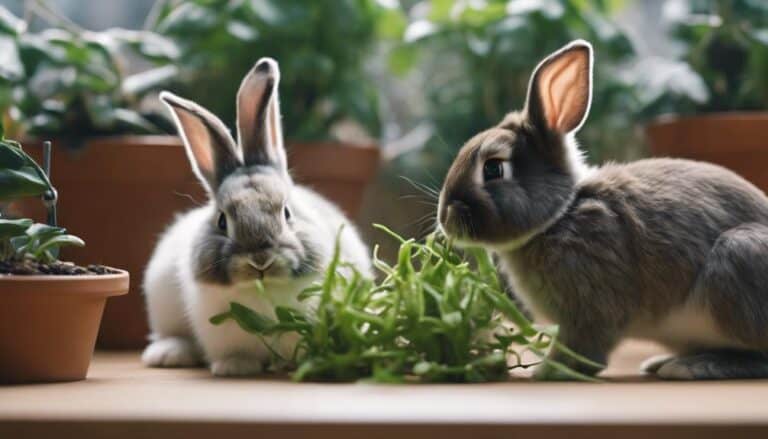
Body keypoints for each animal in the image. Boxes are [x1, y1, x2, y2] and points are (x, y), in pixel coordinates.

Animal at [141, 58, 372, 377]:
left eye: (287, 212)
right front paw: (235, 368)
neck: (262, 291)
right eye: (222, 221)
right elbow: (234, 354)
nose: (260, 260)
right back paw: (168, 354)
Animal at [437, 40, 768, 380]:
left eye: (493, 169)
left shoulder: (588, 312)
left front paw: (547, 371)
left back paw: (692, 366)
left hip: (737, 257)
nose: (445, 218)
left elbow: (584, 352)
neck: (559, 216)